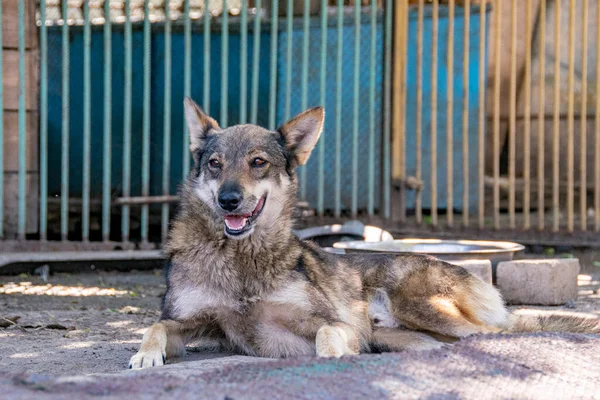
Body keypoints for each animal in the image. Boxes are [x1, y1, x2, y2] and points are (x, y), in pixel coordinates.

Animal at [129, 97, 600, 368]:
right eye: (215, 164)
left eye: (258, 162)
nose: (229, 200)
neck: (242, 259)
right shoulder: (190, 323)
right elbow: (155, 329)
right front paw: (144, 356)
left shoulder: (335, 323)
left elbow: (328, 334)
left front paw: (334, 356)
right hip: (410, 338)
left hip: (420, 308)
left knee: (504, 334)